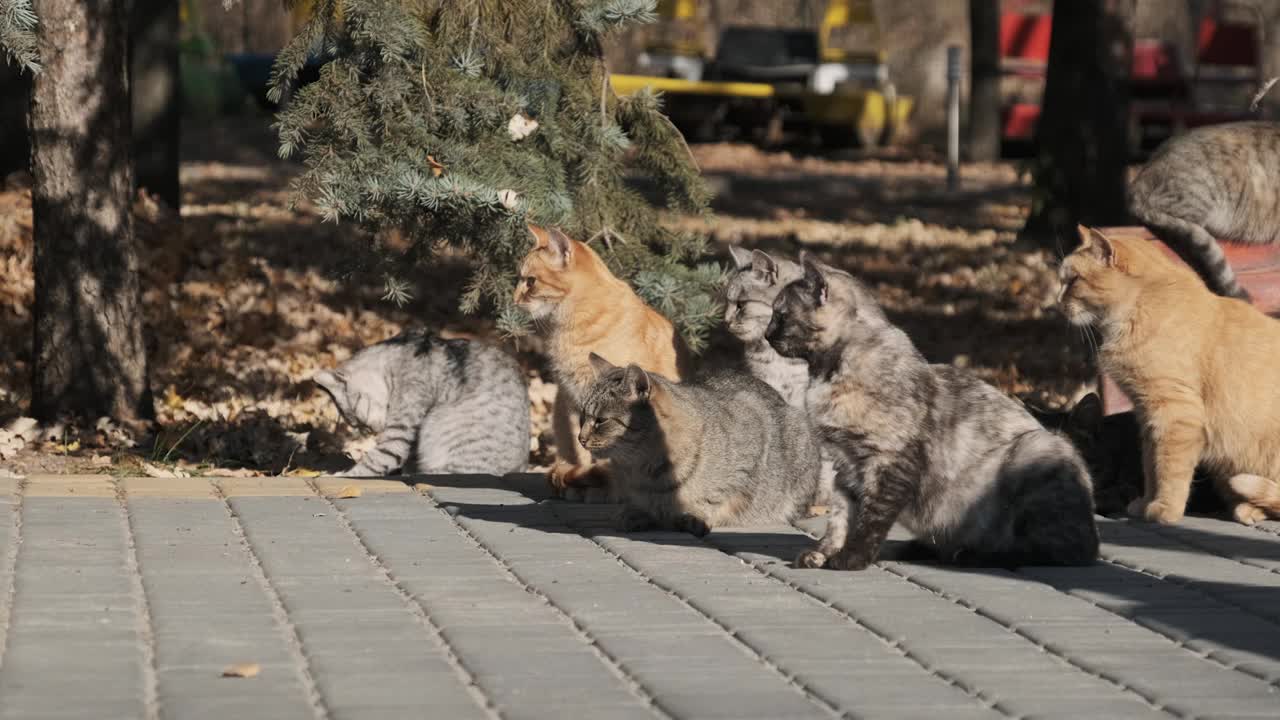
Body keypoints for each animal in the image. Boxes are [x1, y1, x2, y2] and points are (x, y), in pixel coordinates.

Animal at [314, 330, 529, 476]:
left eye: (359, 418)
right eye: (357, 426)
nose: (372, 432)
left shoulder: (400, 430)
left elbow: (377, 460)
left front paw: (342, 475)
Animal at [578, 351, 834, 535]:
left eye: (600, 420)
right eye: (582, 415)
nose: (580, 438)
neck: (647, 470)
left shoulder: (751, 440)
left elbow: (713, 498)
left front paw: (692, 515)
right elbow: (640, 504)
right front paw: (637, 513)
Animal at [762, 254, 1095, 568]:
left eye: (781, 314)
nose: (766, 334)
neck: (826, 374)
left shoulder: (890, 462)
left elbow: (871, 519)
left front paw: (851, 559)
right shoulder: (844, 467)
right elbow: (840, 518)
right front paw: (823, 554)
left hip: (1038, 449)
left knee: (1057, 551)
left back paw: (974, 555)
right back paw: (920, 548)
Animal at [1064, 222, 1280, 520]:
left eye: (1073, 280)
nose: (1058, 301)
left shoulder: (1175, 412)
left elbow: (1170, 470)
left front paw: (1165, 509)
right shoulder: (1147, 415)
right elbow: (1150, 466)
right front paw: (1145, 502)